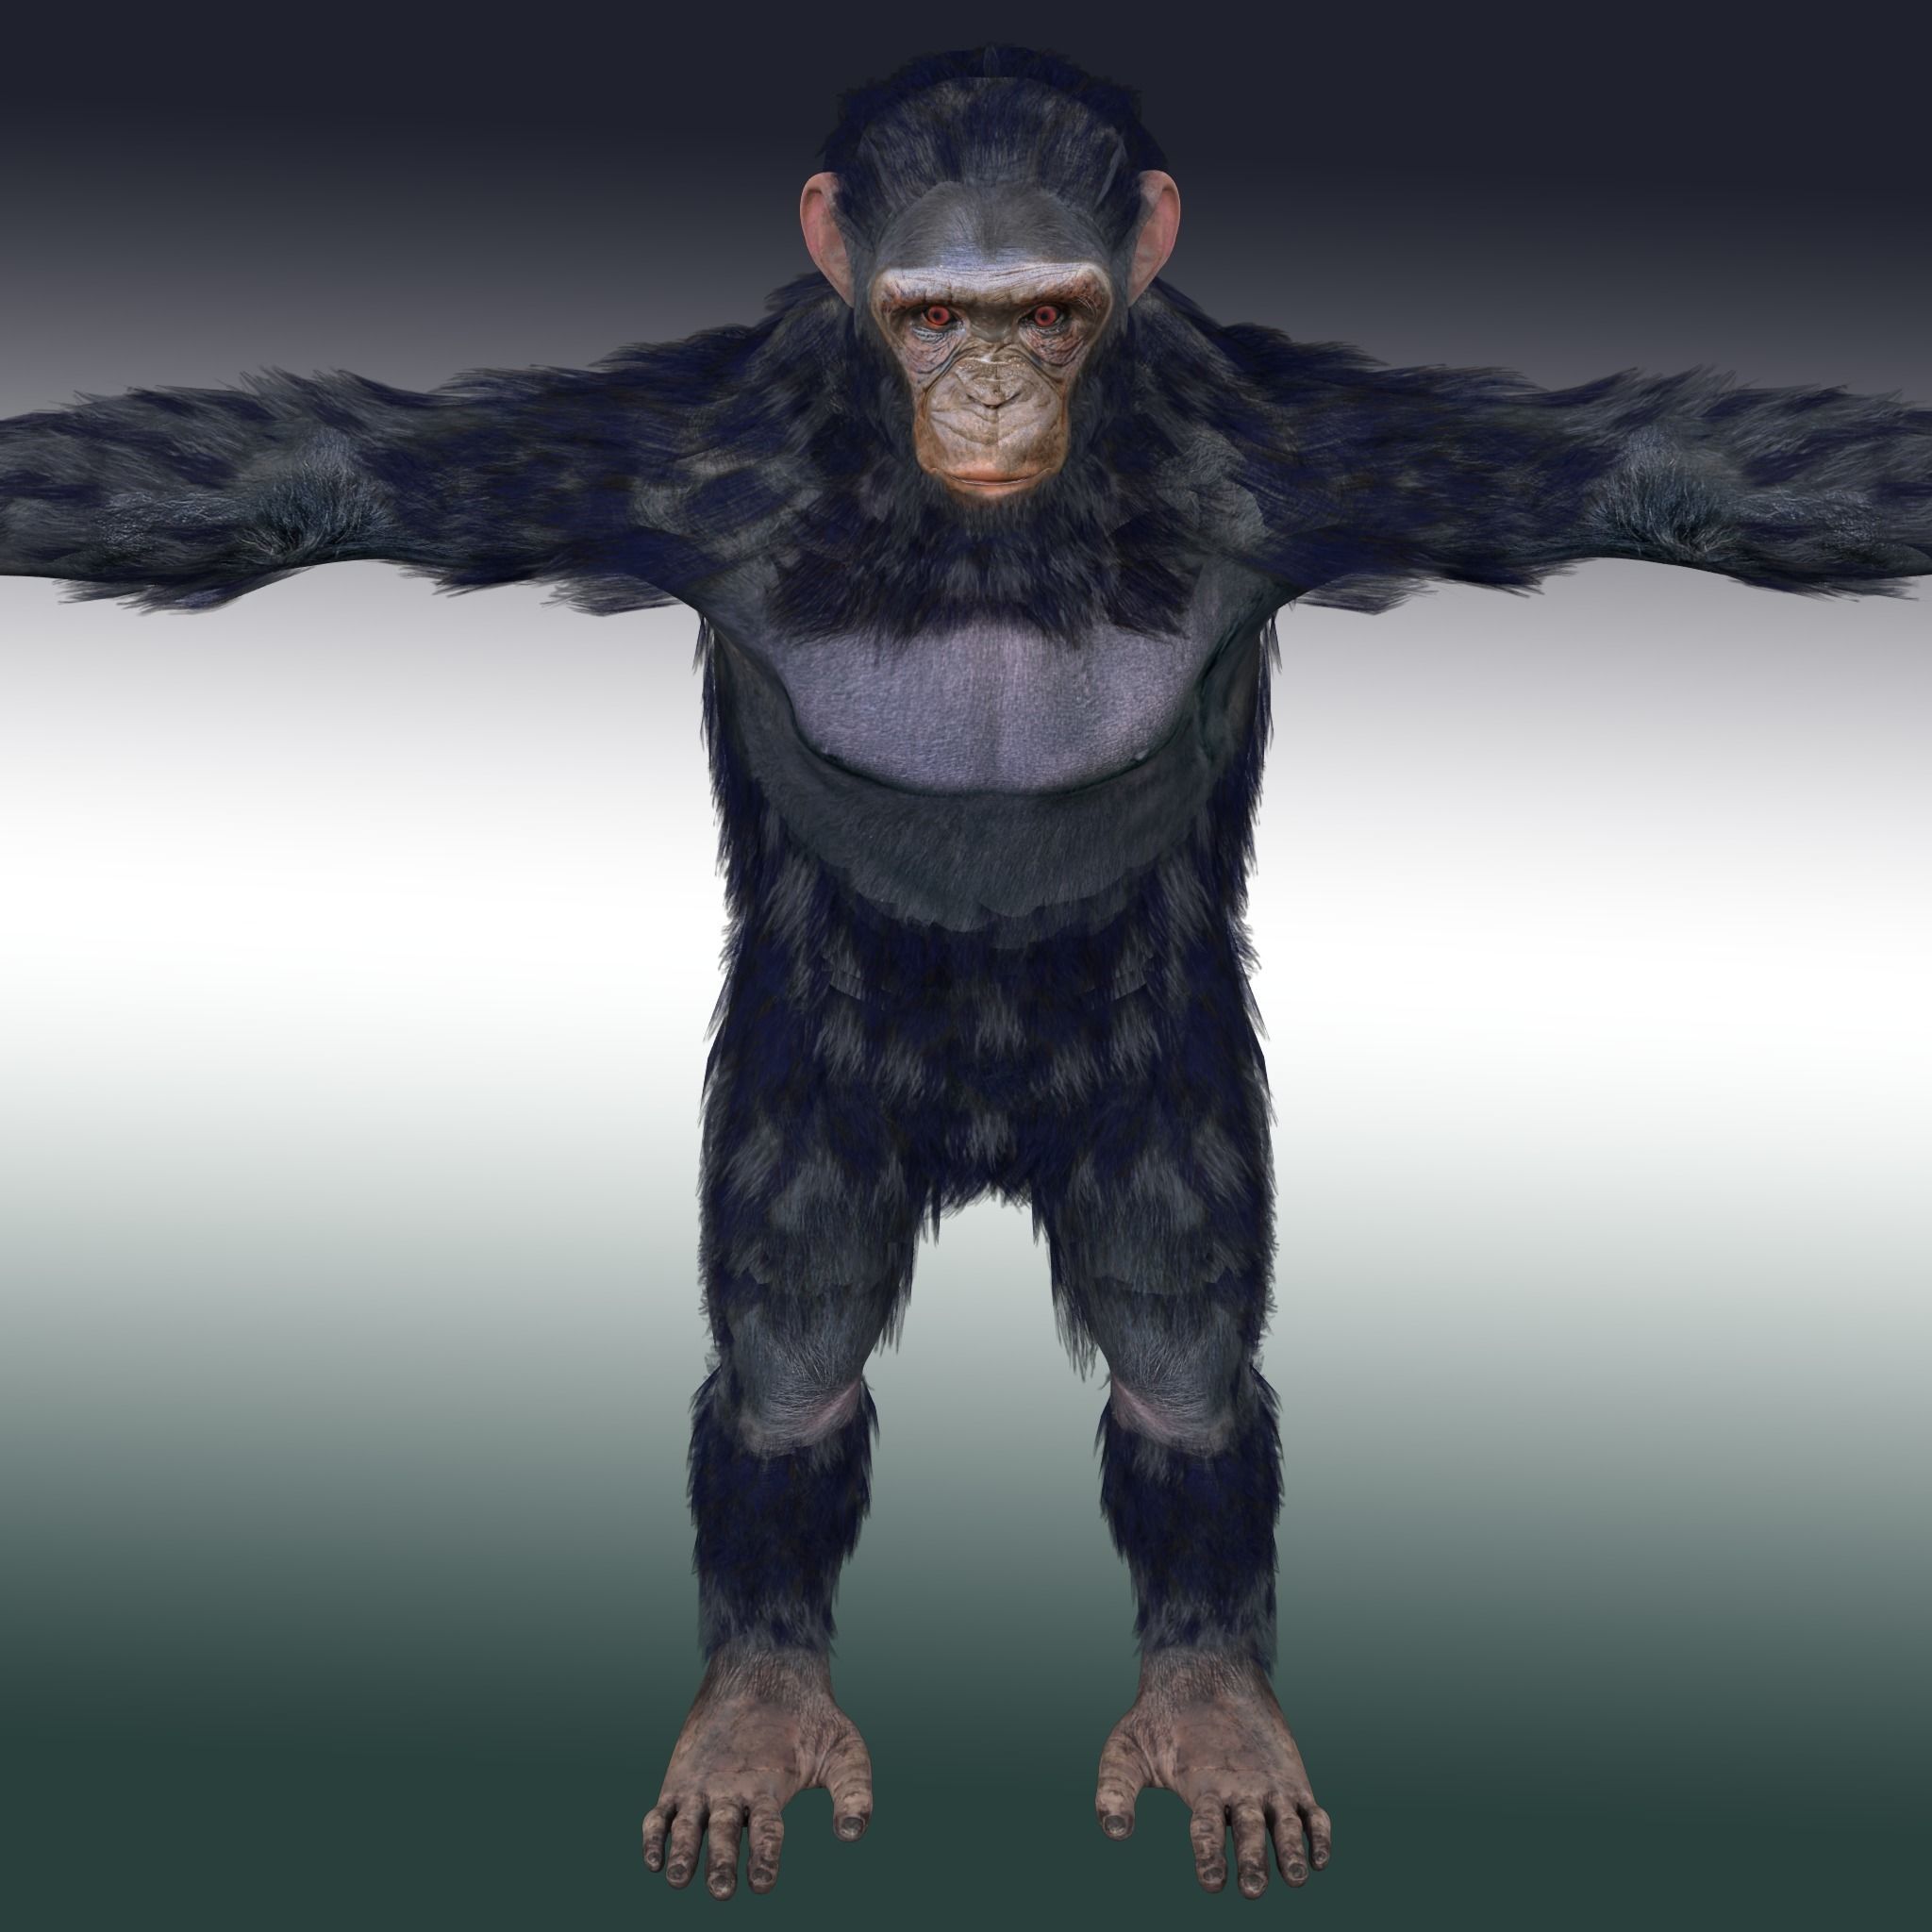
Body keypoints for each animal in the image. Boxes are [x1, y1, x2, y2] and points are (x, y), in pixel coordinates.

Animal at [2, 44, 1928, 1907]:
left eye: (1051, 313)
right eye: (933, 316)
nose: (992, 391)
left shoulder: (1312, 459)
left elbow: (1656, 471)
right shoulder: (663, 463)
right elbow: (317, 472)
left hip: (1167, 1101)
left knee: (1177, 1364)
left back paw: (1206, 1698)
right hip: (803, 1100)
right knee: (790, 1367)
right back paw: (760, 1700)